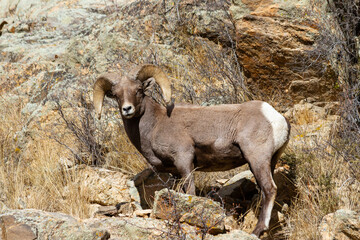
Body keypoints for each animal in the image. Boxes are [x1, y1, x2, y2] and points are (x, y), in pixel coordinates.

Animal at [93, 64, 290, 236]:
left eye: (139, 90)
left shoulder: (184, 160)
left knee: (269, 189)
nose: (127, 109)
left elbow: (190, 193)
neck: (156, 123)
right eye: (116, 95)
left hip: (257, 159)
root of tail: (276, 118)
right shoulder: (175, 172)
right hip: (269, 162)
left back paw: (258, 230)